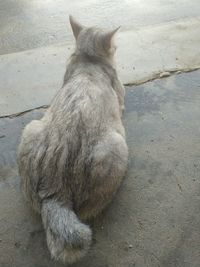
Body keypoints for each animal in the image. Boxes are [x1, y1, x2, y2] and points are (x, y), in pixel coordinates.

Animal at [17, 15, 128, 264]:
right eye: (115, 46)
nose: (117, 48)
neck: (88, 60)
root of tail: (55, 194)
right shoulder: (119, 96)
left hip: (30, 129)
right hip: (117, 147)